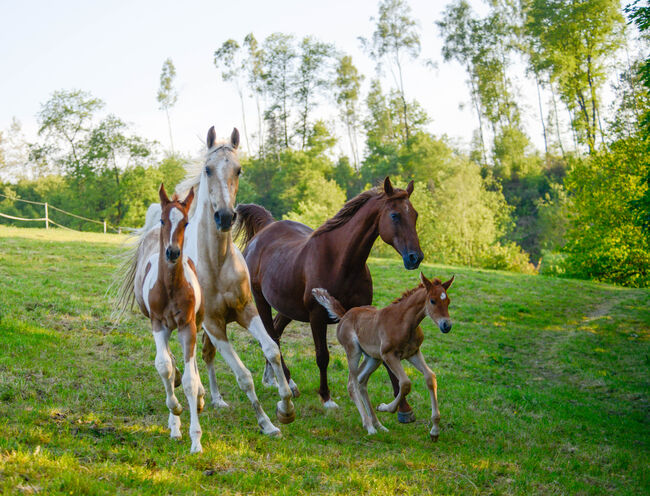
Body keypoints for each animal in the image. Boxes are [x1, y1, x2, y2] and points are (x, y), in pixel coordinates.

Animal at [230, 176, 422, 412]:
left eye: (414, 215)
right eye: (395, 215)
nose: (415, 257)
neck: (342, 262)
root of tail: (266, 228)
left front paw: (402, 406)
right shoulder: (317, 316)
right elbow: (322, 356)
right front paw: (326, 397)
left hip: (289, 307)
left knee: (275, 331)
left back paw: (274, 379)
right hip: (261, 301)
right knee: (272, 336)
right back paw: (288, 383)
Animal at [312, 274, 454, 440]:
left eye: (448, 301)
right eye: (432, 300)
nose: (446, 326)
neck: (405, 322)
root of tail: (345, 315)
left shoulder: (413, 353)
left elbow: (430, 377)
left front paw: (435, 430)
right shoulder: (389, 355)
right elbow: (405, 383)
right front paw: (387, 407)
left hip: (373, 358)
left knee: (361, 381)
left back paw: (378, 425)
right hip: (353, 351)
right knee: (352, 384)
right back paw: (369, 426)